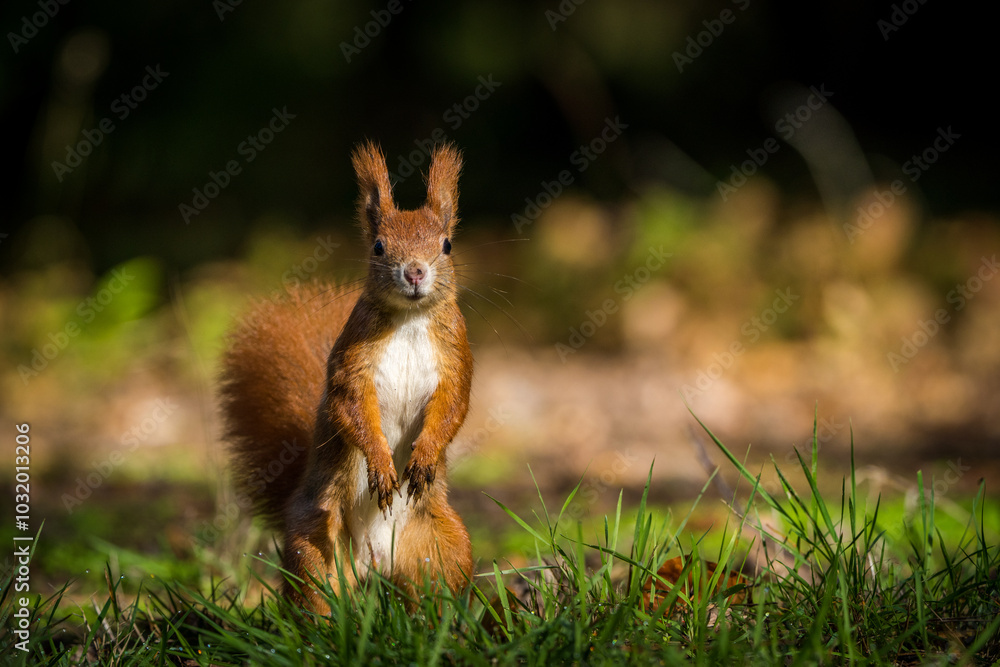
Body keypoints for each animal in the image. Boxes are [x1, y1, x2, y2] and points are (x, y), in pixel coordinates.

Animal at [219, 141, 474, 613]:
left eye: (447, 245)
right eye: (378, 246)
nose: (415, 272)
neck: (410, 319)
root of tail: (375, 563)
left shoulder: (456, 359)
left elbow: (454, 405)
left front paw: (425, 456)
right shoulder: (351, 363)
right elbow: (349, 406)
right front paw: (380, 464)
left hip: (445, 544)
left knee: (438, 592)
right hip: (314, 542)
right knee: (315, 595)